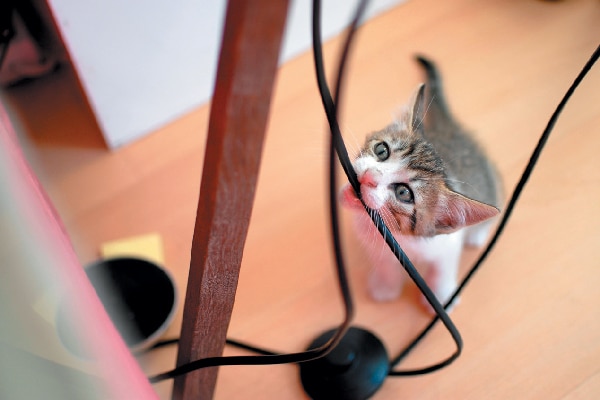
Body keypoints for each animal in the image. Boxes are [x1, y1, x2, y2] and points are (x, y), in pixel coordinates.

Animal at [342, 55, 502, 312]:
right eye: (382, 150)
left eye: (404, 193)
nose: (369, 176)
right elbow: (385, 264)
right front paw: (385, 286)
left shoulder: (446, 243)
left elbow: (443, 267)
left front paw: (442, 296)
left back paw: (478, 234)